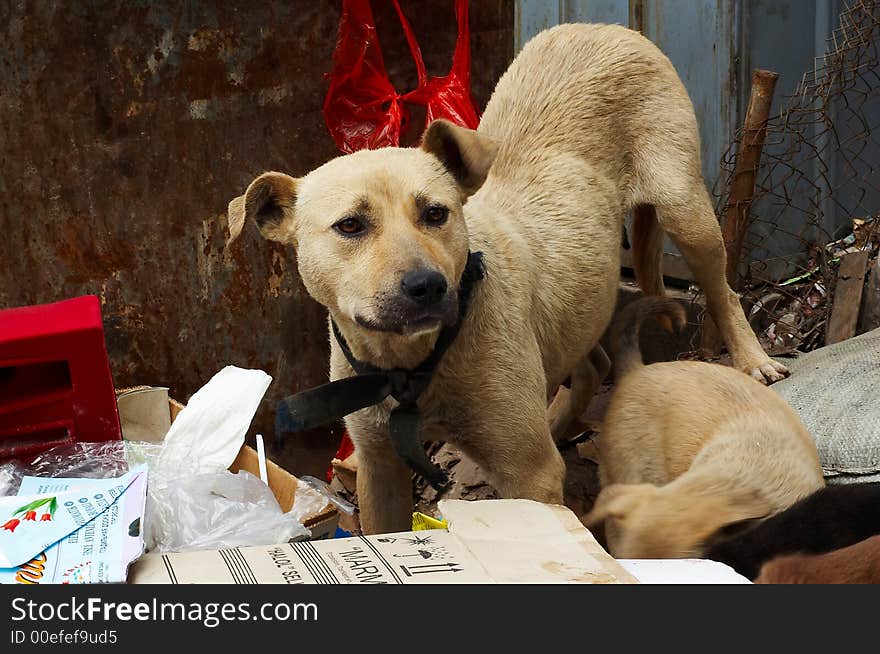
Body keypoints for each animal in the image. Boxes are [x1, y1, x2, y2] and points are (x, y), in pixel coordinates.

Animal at [230, 25, 788, 540]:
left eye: (437, 213)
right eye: (350, 225)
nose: (426, 286)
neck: (415, 363)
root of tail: (605, 26)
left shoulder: (529, 476)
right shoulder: (378, 467)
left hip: (684, 209)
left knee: (723, 290)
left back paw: (753, 360)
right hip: (581, 291)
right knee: (593, 363)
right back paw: (559, 420)